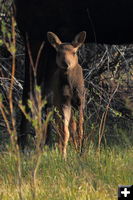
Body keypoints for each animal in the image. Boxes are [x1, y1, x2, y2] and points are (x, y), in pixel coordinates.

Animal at [46, 30, 85, 158]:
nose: (66, 63)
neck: (71, 85)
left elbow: (79, 130)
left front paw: (81, 152)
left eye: (74, 52)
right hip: (56, 105)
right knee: (61, 128)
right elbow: (65, 131)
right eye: (58, 53)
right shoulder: (64, 102)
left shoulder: (80, 102)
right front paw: (63, 156)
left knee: (72, 126)